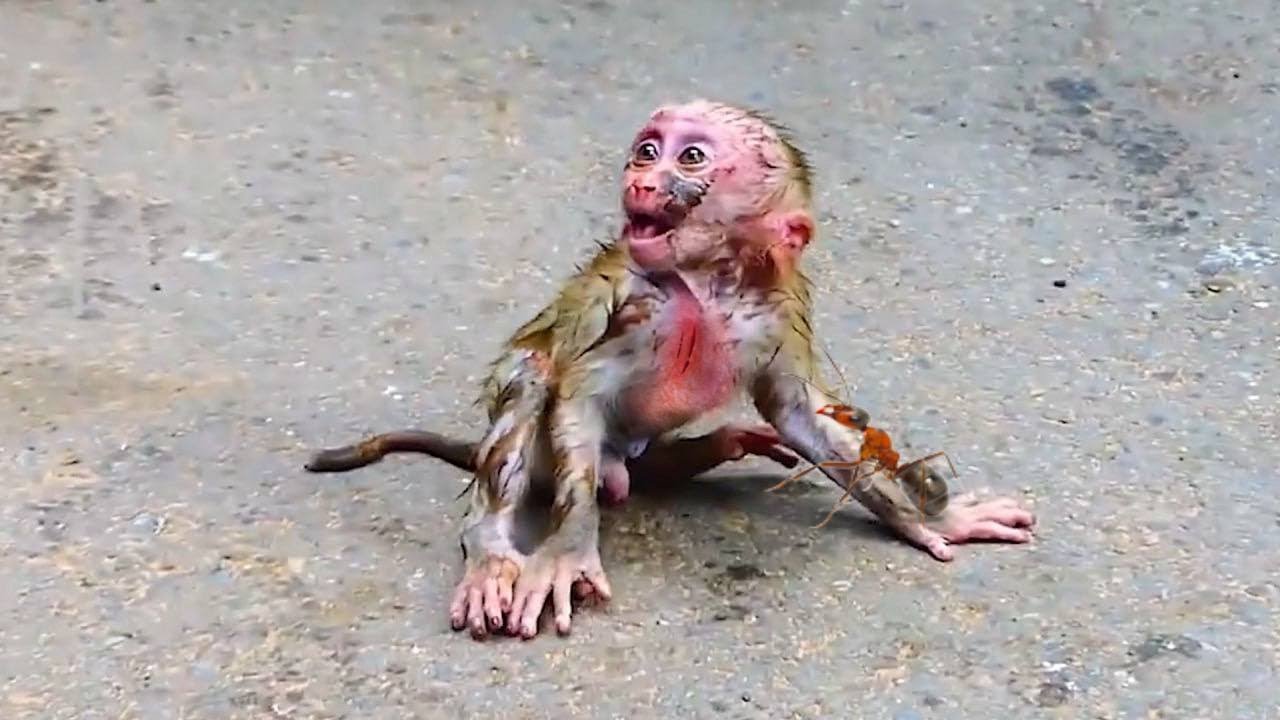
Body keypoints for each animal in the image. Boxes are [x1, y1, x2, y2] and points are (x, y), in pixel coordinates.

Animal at [305, 100, 1036, 641]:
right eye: (649, 149)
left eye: (691, 156)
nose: (640, 176)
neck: (709, 283)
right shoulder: (639, 300)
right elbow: (578, 390)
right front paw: (567, 550)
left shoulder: (776, 308)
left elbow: (804, 413)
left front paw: (931, 516)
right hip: (544, 456)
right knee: (536, 376)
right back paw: (490, 544)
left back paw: (716, 446)